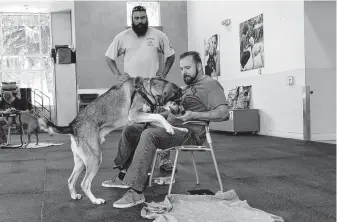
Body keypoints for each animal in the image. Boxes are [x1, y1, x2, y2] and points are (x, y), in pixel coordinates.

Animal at [39, 76, 186, 205]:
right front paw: (171, 128)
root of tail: (73, 126)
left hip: (81, 161)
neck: (147, 90)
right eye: (177, 100)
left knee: (71, 180)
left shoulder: (147, 118)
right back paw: (95, 201)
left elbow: (162, 120)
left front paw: (178, 129)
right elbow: (160, 117)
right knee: (84, 183)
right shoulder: (135, 114)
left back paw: (74, 196)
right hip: (95, 158)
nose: (184, 112)